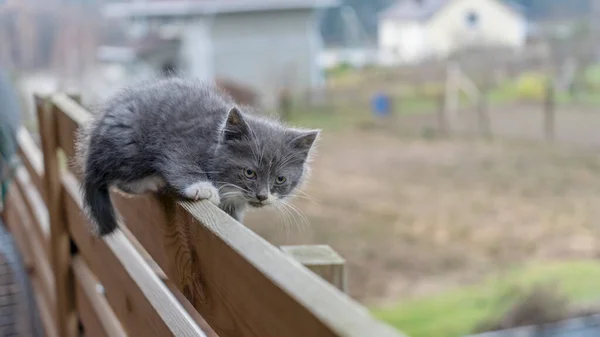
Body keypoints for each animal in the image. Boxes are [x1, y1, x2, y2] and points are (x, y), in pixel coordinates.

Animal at [78, 78, 322, 236]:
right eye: (249, 173)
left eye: (280, 179)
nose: (262, 196)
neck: (214, 138)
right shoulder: (181, 143)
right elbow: (181, 164)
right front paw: (202, 188)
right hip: (130, 146)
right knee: (116, 177)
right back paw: (152, 180)